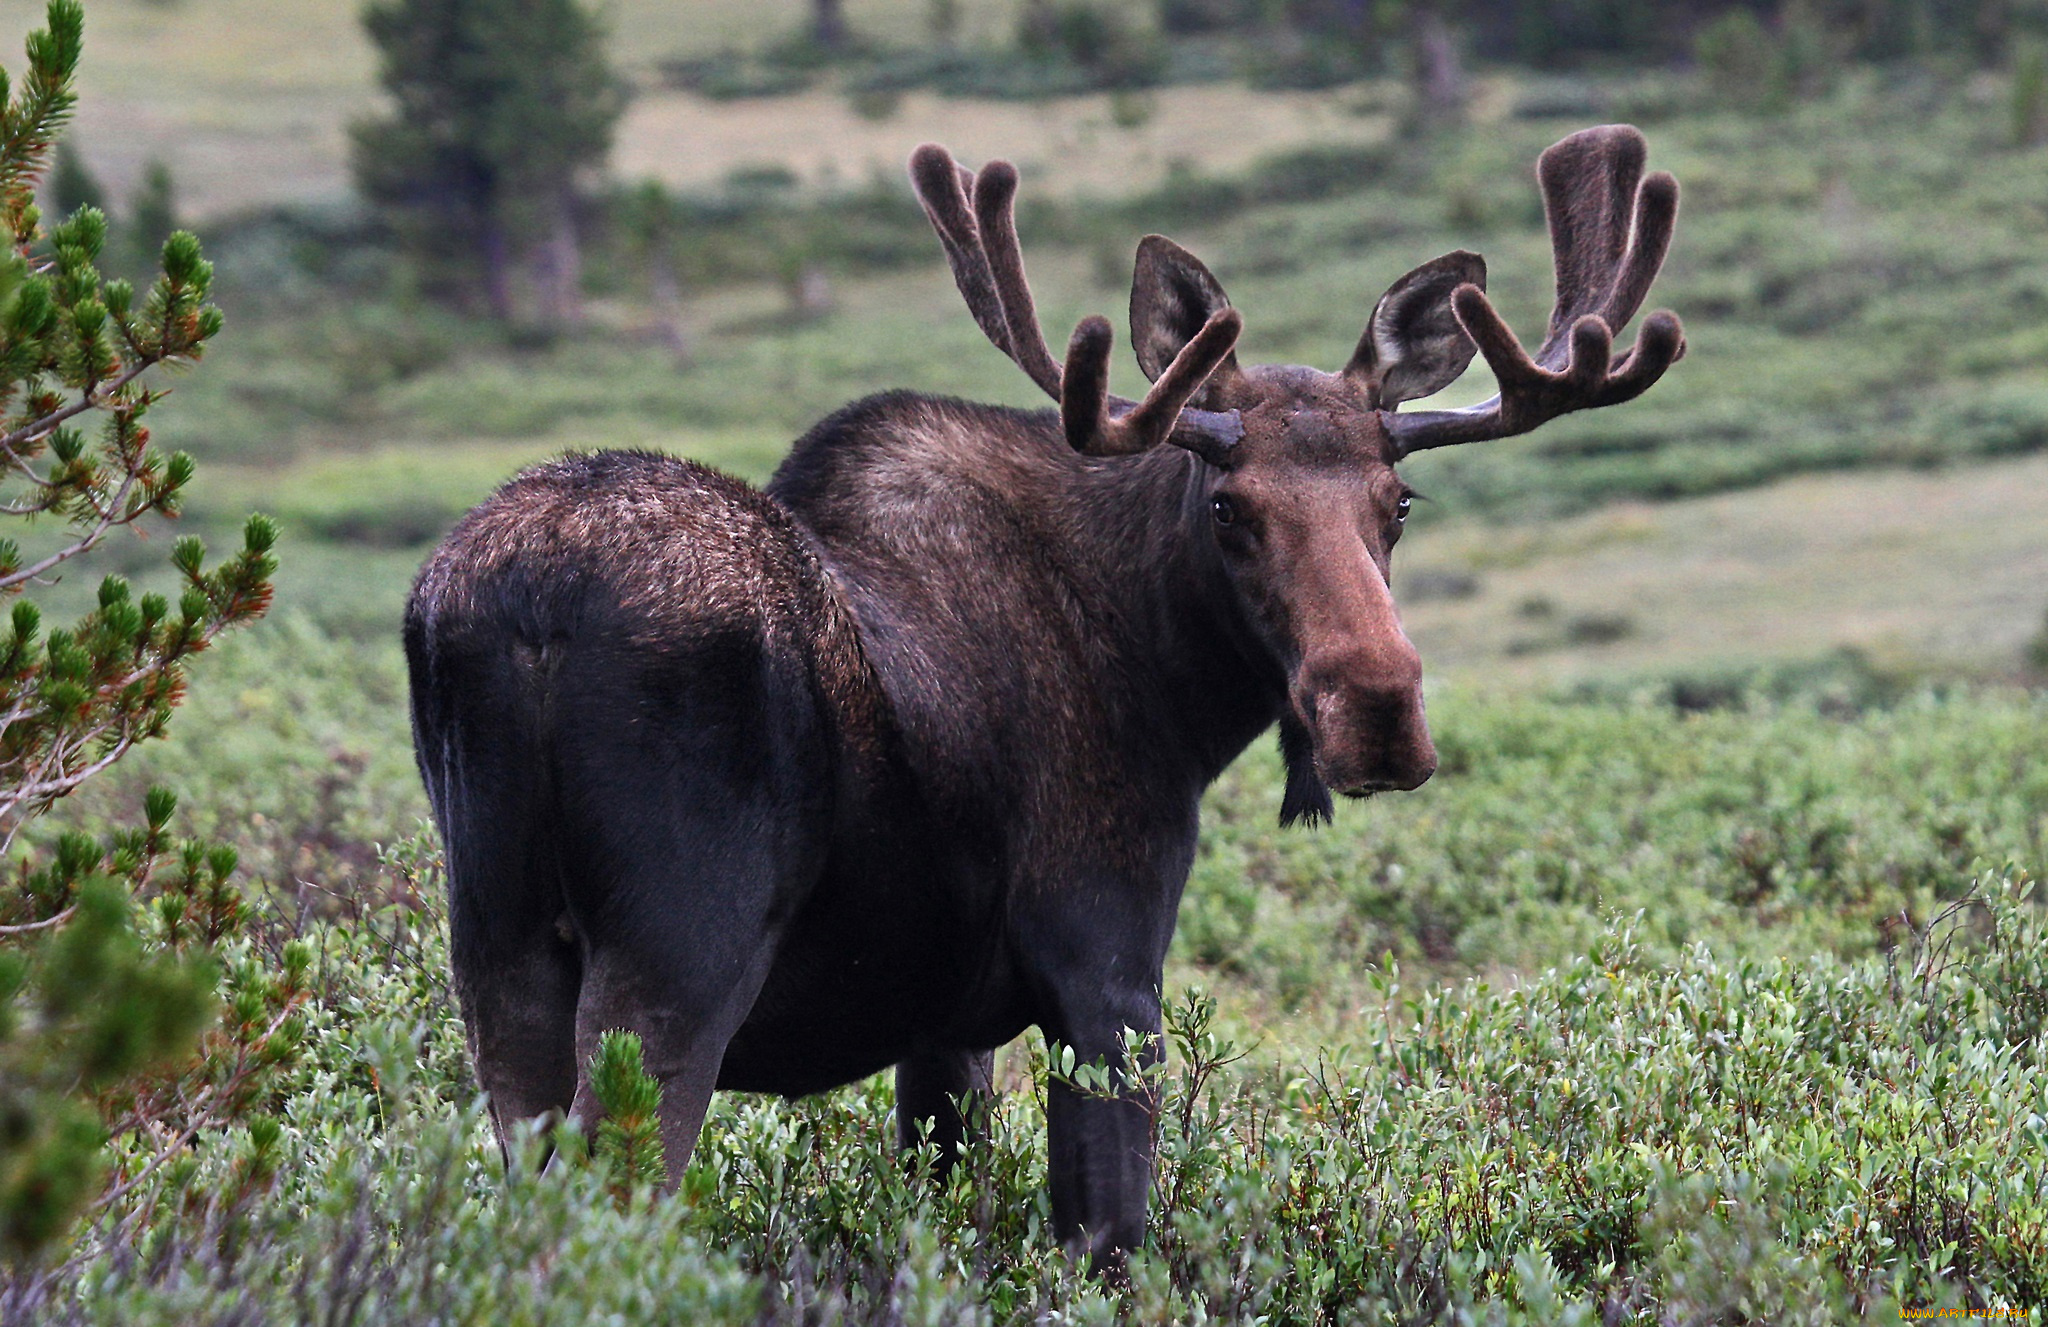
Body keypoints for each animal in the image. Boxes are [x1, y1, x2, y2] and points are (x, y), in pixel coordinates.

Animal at [399, 126, 1679, 1277]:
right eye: (1230, 508)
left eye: (1396, 500)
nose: (1374, 711)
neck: (1174, 692)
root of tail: (523, 608)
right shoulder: (1105, 969)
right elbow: (1106, 1242)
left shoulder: (939, 1028)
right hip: (674, 962)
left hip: (497, 958)